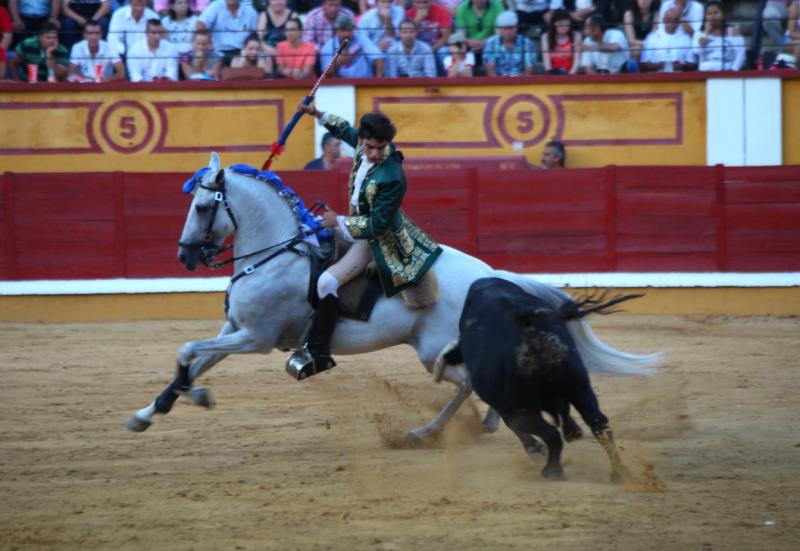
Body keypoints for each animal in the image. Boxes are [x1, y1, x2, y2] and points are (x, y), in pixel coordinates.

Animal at [126, 153, 664, 438]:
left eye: (202, 206)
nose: (184, 255)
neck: (275, 251)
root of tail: (490, 276)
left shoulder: (254, 338)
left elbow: (186, 351)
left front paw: (190, 397)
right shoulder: (232, 329)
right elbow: (194, 360)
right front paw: (154, 410)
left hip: (434, 350)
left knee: (468, 382)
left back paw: (433, 431)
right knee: (479, 381)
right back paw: (486, 423)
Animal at [438, 278, 636, 480]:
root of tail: (525, 320)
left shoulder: (510, 409)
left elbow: (518, 428)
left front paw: (537, 450)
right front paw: (573, 431)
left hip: (520, 409)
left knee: (552, 435)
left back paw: (552, 470)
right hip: (580, 388)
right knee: (599, 424)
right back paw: (619, 473)